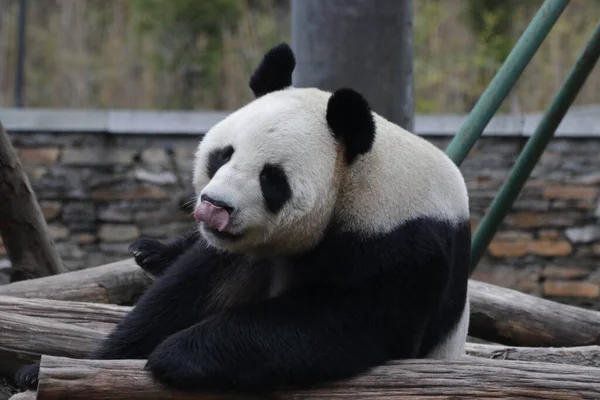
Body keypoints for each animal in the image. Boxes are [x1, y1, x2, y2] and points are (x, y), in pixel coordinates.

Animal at [14, 43, 472, 394]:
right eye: (224, 154)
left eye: (272, 178)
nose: (214, 206)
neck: (355, 176)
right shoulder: (235, 249)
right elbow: (182, 294)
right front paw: (41, 372)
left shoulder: (401, 244)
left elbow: (342, 321)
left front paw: (178, 355)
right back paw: (152, 251)